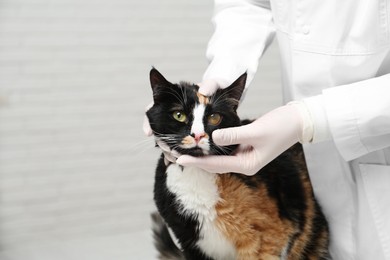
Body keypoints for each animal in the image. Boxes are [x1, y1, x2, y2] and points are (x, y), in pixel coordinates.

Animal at [146, 68, 330, 258]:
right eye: (179, 115)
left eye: (214, 117)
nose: (197, 135)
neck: (197, 172)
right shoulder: (189, 243)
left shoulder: (267, 237)